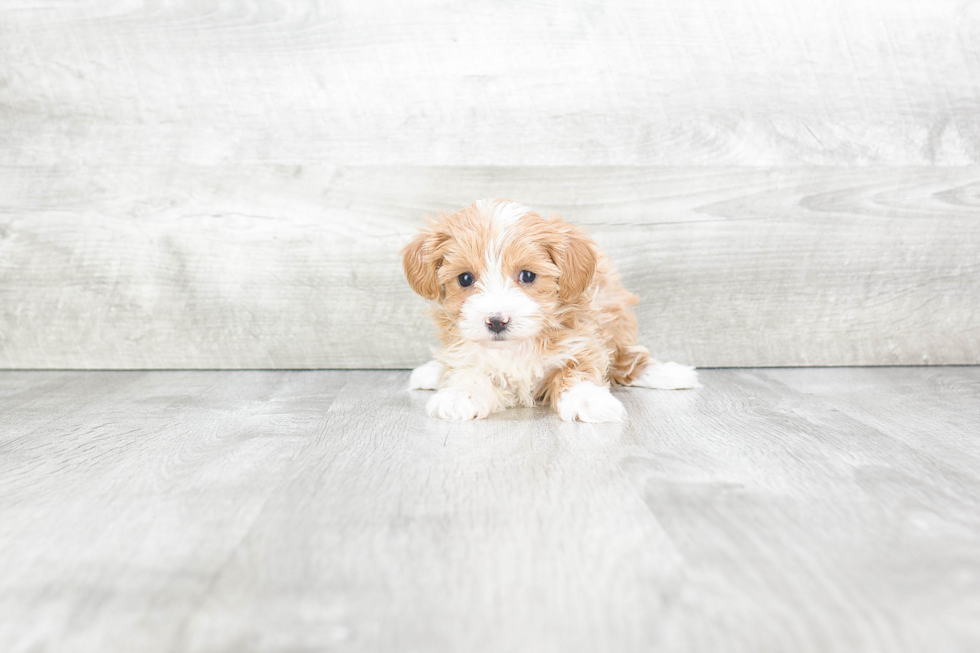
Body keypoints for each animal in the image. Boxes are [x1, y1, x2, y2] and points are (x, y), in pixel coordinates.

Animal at [402, 199, 700, 422]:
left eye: (527, 276)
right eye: (465, 278)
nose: (497, 321)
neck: (515, 347)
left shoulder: (581, 341)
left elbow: (577, 371)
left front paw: (586, 399)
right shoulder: (464, 349)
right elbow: (467, 368)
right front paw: (461, 394)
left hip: (616, 317)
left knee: (628, 357)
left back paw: (669, 374)